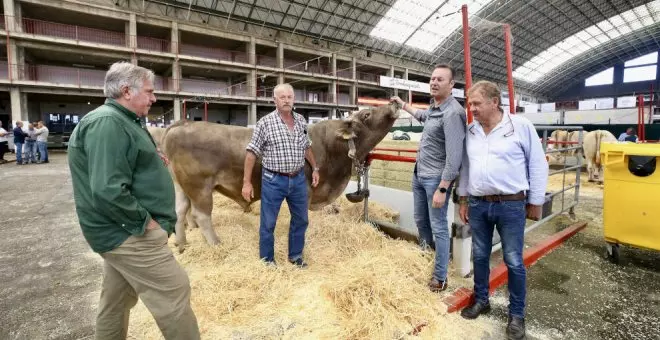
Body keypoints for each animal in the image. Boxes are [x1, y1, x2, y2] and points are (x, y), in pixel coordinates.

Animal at [162, 103, 400, 250]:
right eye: (366, 114)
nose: (393, 103)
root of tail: (183, 123)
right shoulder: (306, 190)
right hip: (200, 187)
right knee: (201, 215)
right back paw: (216, 244)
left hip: (181, 186)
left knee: (180, 211)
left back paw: (181, 244)